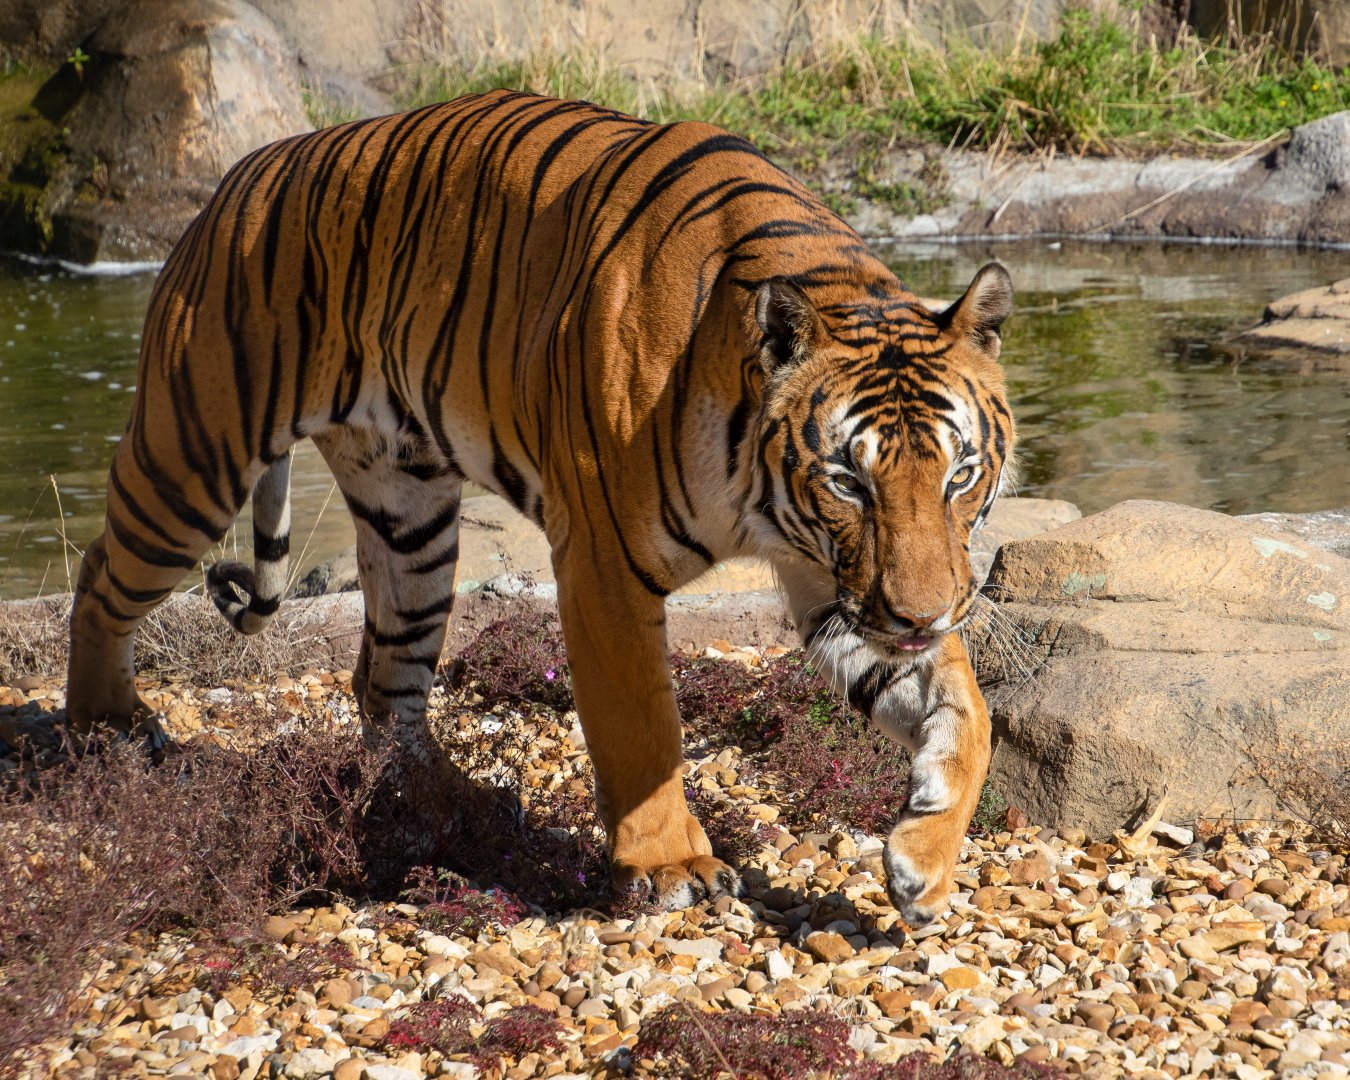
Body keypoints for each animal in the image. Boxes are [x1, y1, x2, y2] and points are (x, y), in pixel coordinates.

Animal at [67, 90, 1015, 922]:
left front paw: (924, 862)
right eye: (849, 481)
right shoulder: (605, 566)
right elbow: (643, 730)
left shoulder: (838, 582)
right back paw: (104, 732)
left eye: (960, 475)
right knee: (98, 580)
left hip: (409, 521)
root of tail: (243, 171)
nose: (923, 614)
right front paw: (671, 867)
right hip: (192, 457)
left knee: (382, 683)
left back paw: (460, 809)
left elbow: (968, 713)